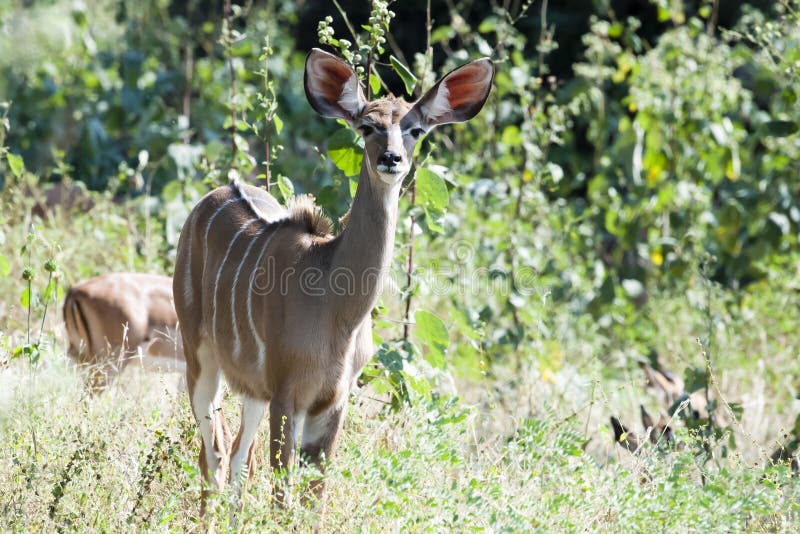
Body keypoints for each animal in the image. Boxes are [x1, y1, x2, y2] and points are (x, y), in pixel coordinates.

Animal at [173, 48, 494, 510]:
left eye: (414, 130)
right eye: (367, 126)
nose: (391, 159)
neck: (337, 309)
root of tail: (213, 195)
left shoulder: (331, 402)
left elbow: (312, 499)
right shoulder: (288, 395)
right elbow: (283, 497)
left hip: (251, 388)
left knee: (236, 458)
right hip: (198, 354)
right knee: (212, 455)